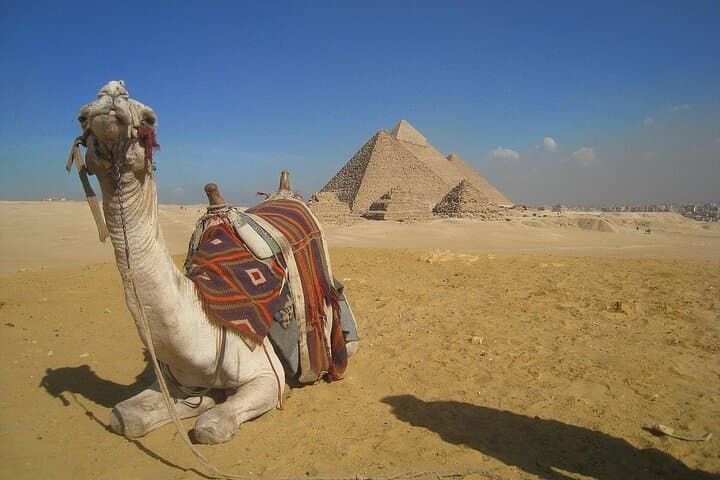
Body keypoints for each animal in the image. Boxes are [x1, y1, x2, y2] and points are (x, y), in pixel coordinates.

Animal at [71, 80, 354, 444]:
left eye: (149, 118)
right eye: (82, 116)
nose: (111, 93)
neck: (203, 329)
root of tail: (284, 190)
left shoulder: (267, 375)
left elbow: (210, 427)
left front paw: (209, 410)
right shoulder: (176, 380)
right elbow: (124, 418)